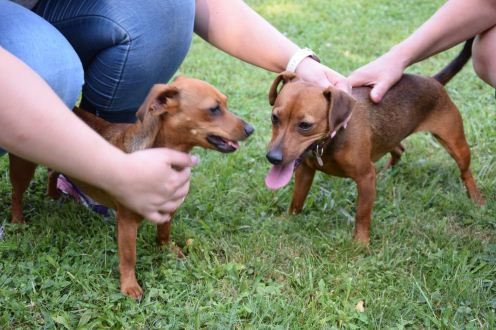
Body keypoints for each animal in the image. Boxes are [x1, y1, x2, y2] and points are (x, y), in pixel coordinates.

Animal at [8, 77, 252, 300]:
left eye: (226, 104)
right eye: (214, 109)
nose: (251, 129)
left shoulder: (168, 210)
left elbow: (164, 233)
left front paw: (167, 249)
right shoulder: (126, 224)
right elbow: (128, 257)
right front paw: (129, 285)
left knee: (53, 173)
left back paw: (53, 195)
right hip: (23, 167)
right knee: (17, 194)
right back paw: (17, 220)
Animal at [266, 40, 482, 244]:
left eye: (305, 125)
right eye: (274, 118)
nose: (272, 157)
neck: (329, 142)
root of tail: (432, 81)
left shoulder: (365, 178)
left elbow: (362, 214)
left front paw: (361, 243)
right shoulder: (304, 172)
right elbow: (297, 199)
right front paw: (289, 219)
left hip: (456, 144)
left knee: (465, 172)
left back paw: (477, 199)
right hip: (391, 136)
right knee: (399, 149)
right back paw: (387, 172)